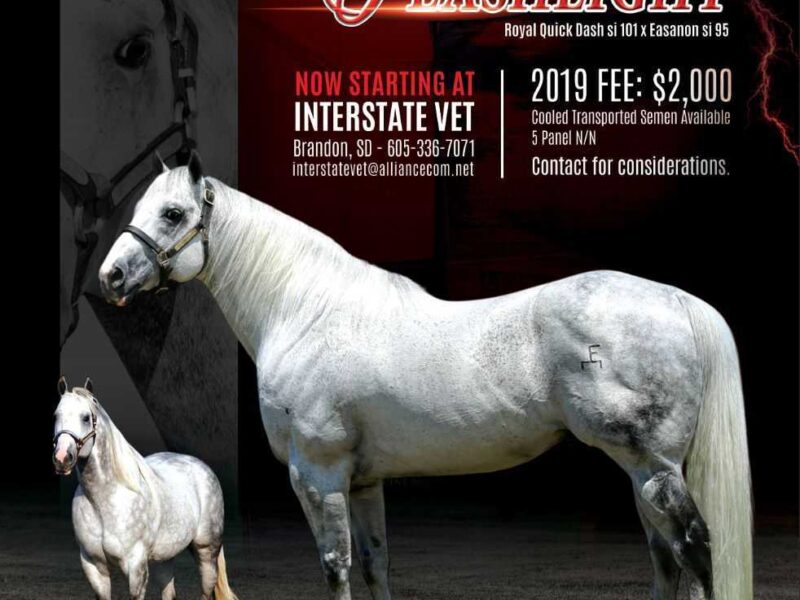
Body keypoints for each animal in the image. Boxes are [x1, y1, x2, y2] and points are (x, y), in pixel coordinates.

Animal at [53, 376, 238, 600]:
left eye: (86, 418)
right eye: (56, 415)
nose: (62, 458)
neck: (104, 500)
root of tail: (201, 465)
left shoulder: (135, 567)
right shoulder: (94, 566)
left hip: (206, 550)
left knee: (206, 589)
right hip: (164, 558)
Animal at [99, 154, 752, 600]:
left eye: (173, 213)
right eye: (137, 210)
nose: (111, 277)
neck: (304, 310)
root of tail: (675, 299)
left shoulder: (317, 474)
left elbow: (336, 568)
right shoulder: (363, 481)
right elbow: (374, 564)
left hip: (653, 466)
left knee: (694, 549)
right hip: (645, 473)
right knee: (666, 558)